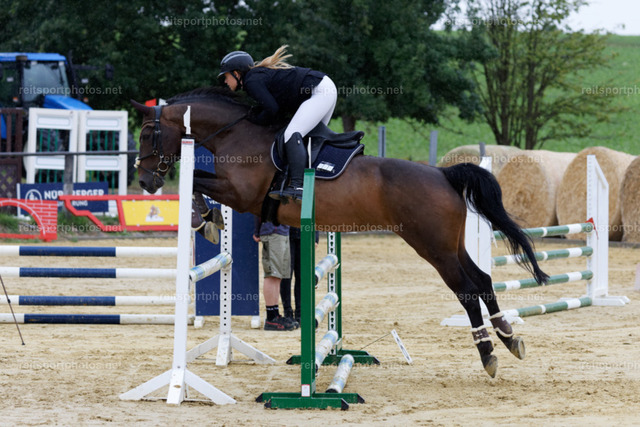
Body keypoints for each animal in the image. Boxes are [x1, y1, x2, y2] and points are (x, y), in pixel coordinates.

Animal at [131, 87, 548, 378]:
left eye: (148, 133)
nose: (145, 181)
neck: (235, 134)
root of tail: (443, 173)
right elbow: (199, 183)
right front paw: (209, 221)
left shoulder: (241, 193)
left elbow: (199, 182)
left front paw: (202, 217)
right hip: (450, 244)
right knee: (482, 279)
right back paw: (509, 337)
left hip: (434, 247)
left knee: (466, 289)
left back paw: (488, 353)